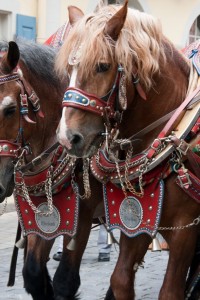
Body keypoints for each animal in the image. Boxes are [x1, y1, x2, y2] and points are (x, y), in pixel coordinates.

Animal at [55, 1, 200, 298]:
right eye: (69, 68)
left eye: (102, 66)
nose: (66, 138)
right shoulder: (137, 219)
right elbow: (120, 279)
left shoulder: (185, 228)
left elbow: (170, 291)